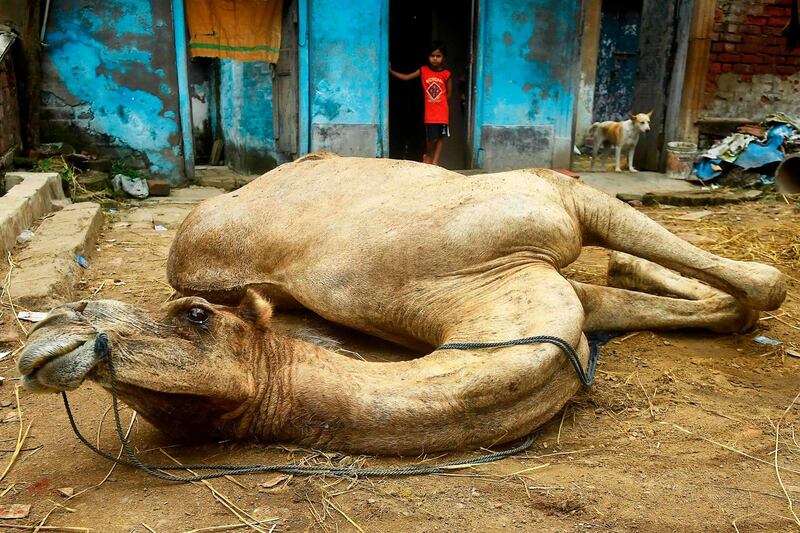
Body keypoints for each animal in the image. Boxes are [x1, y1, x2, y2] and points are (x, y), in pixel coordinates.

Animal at [15, 154, 784, 454]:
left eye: (196, 318)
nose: (55, 330)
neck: (479, 288)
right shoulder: (545, 269)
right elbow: (749, 292)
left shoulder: (556, 204)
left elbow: (758, 284)